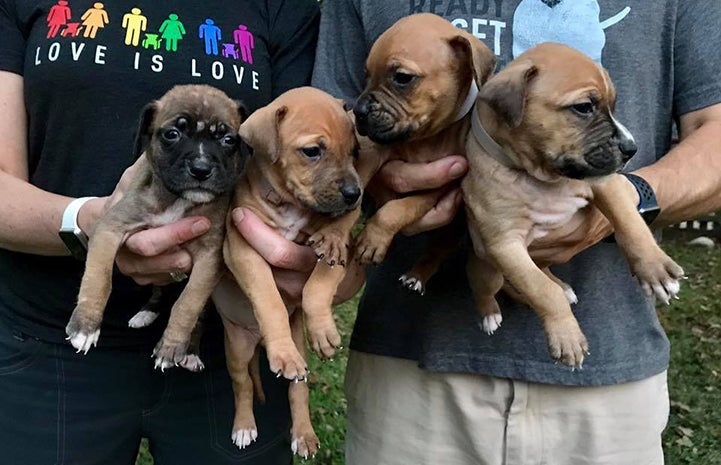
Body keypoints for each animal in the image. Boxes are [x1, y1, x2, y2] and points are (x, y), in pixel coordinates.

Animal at [67, 83, 248, 370]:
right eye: (172, 134)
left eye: (228, 140)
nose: (201, 169)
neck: (177, 199)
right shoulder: (110, 228)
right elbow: (98, 277)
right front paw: (85, 326)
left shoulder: (209, 259)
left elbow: (188, 303)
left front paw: (172, 346)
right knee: (159, 289)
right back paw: (146, 312)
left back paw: (190, 351)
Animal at [217, 86, 358, 454]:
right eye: (312, 151)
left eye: (354, 151)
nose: (355, 193)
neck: (289, 205)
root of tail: (256, 343)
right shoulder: (241, 249)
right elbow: (269, 299)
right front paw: (282, 351)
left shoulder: (338, 252)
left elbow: (318, 283)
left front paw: (323, 330)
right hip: (236, 349)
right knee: (242, 385)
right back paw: (244, 426)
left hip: (299, 354)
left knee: (299, 388)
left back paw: (304, 434)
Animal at [352, 13, 498, 294]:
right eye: (366, 75)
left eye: (402, 77)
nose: (358, 111)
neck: (423, 139)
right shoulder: (375, 150)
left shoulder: (437, 187)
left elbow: (396, 209)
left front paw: (373, 239)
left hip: (450, 230)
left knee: (437, 250)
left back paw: (417, 275)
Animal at [464, 43, 684, 368]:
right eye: (584, 107)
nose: (631, 149)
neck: (541, 174)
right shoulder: (504, 245)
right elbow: (540, 291)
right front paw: (566, 336)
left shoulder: (606, 182)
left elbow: (630, 223)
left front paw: (655, 269)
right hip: (488, 270)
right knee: (489, 287)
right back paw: (489, 314)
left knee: (544, 270)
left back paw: (562, 285)